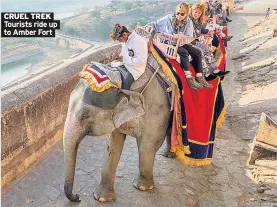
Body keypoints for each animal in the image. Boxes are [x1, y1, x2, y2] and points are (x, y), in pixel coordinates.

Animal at [62, 53, 172, 202]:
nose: (77, 197)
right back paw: (168, 154)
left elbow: (148, 145)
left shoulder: (156, 109)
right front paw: (102, 198)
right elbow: (113, 145)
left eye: (85, 115)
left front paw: (142, 187)